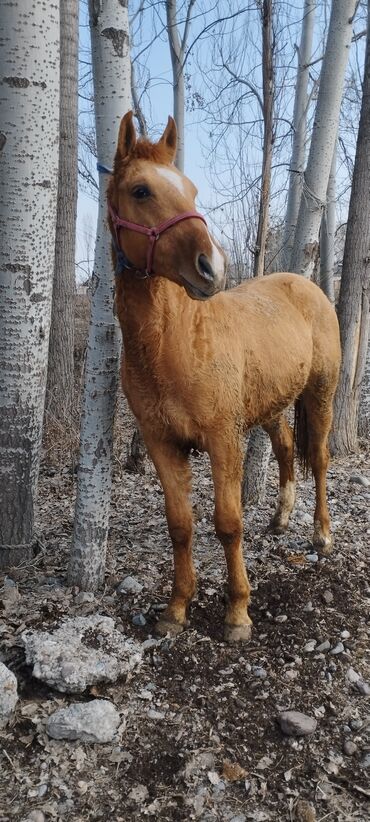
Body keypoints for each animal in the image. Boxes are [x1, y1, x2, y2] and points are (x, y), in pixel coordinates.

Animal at [107, 112, 342, 648]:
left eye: (191, 190)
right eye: (141, 190)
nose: (211, 266)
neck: (175, 344)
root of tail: (307, 287)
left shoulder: (222, 440)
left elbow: (228, 523)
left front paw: (237, 612)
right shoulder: (162, 444)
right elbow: (180, 525)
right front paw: (176, 609)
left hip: (320, 394)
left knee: (318, 458)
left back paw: (320, 534)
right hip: (271, 405)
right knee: (285, 448)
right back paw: (280, 518)